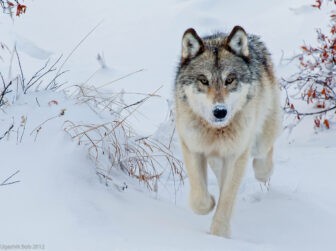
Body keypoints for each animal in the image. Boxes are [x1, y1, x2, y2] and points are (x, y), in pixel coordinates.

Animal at [175, 26, 282, 238]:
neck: (216, 131)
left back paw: (263, 172)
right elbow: (200, 201)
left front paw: (219, 235)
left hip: (261, 138)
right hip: (216, 158)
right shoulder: (192, 148)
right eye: (203, 80)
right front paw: (210, 202)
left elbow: (226, 201)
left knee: (263, 155)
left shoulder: (236, 156)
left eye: (230, 80)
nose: (220, 111)